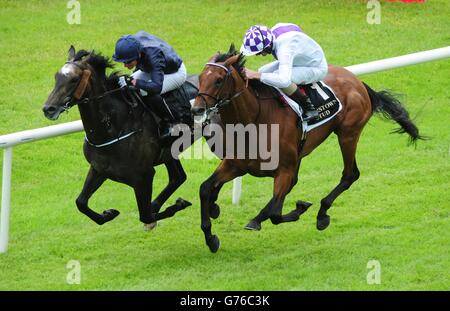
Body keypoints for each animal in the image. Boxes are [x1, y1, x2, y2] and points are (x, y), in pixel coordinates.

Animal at [43, 46, 196, 230]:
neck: (114, 127)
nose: (48, 109)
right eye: (56, 76)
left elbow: (145, 216)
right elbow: (80, 202)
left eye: (74, 79)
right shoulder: (99, 169)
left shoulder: (143, 176)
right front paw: (108, 213)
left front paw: (176, 206)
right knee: (178, 177)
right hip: (168, 154)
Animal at [192, 44, 424, 254]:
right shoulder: (236, 165)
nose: (197, 109)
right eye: (200, 78)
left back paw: (322, 213)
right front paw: (211, 236)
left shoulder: (283, 169)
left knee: (350, 174)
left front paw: (297, 209)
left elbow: (276, 213)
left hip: (348, 134)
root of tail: (357, 81)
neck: (255, 119)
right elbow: (205, 188)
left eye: (218, 80)